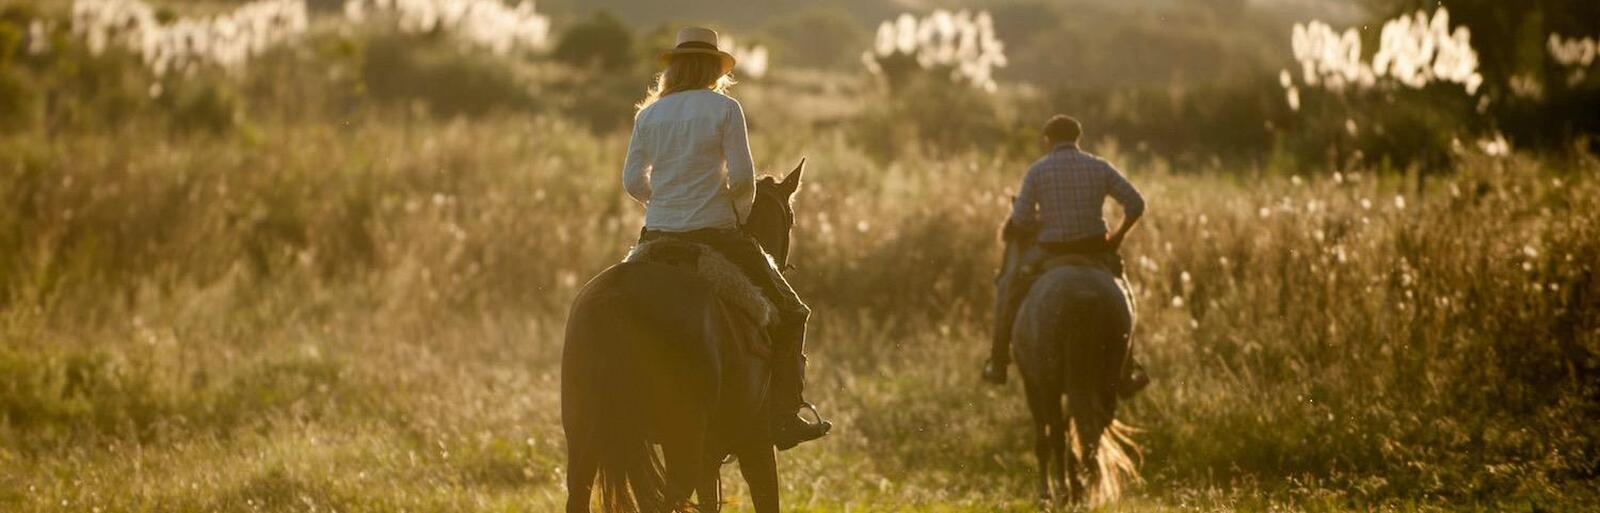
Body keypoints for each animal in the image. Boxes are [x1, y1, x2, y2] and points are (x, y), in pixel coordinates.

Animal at [1004, 233, 1145, 505]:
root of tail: (1082, 298)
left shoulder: (1033, 385)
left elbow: (1044, 440)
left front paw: (1046, 496)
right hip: (1105, 381)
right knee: (1091, 432)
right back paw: (1080, 490)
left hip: (1049, 385)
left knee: (1058, 435)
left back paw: (1062, 493)